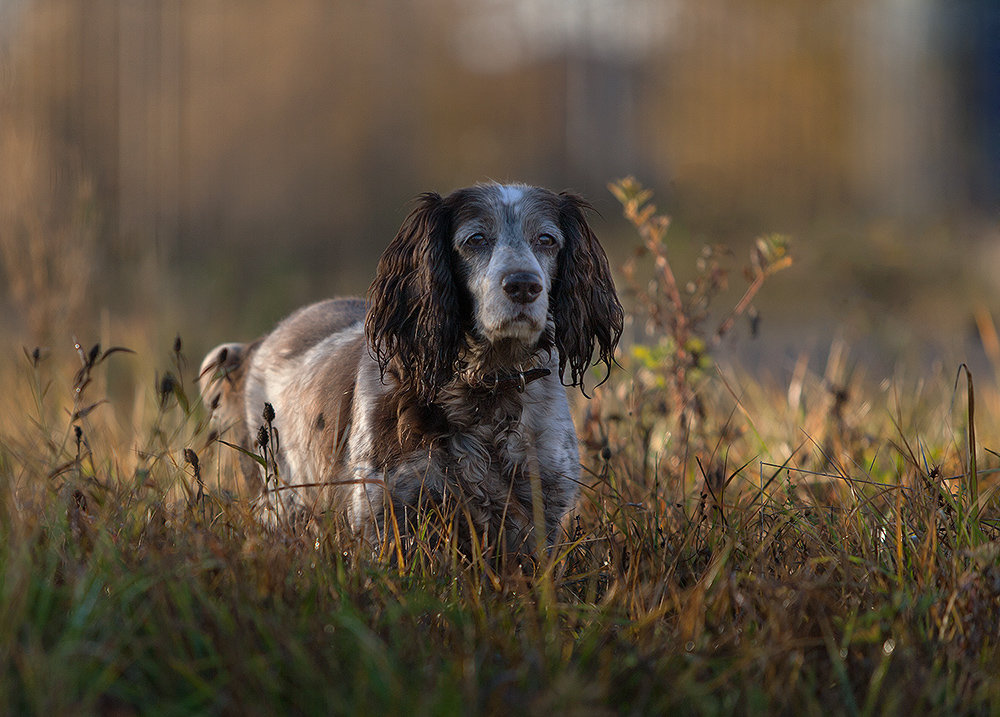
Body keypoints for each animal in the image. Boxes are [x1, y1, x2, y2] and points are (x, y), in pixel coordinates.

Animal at [199, 182, 620, 552]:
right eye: (475, 240)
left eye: (547, 240)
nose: (523, 285)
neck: (486, 388)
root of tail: (257, 345)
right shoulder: (385, 514)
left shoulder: (539, 515)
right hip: (279, 500)